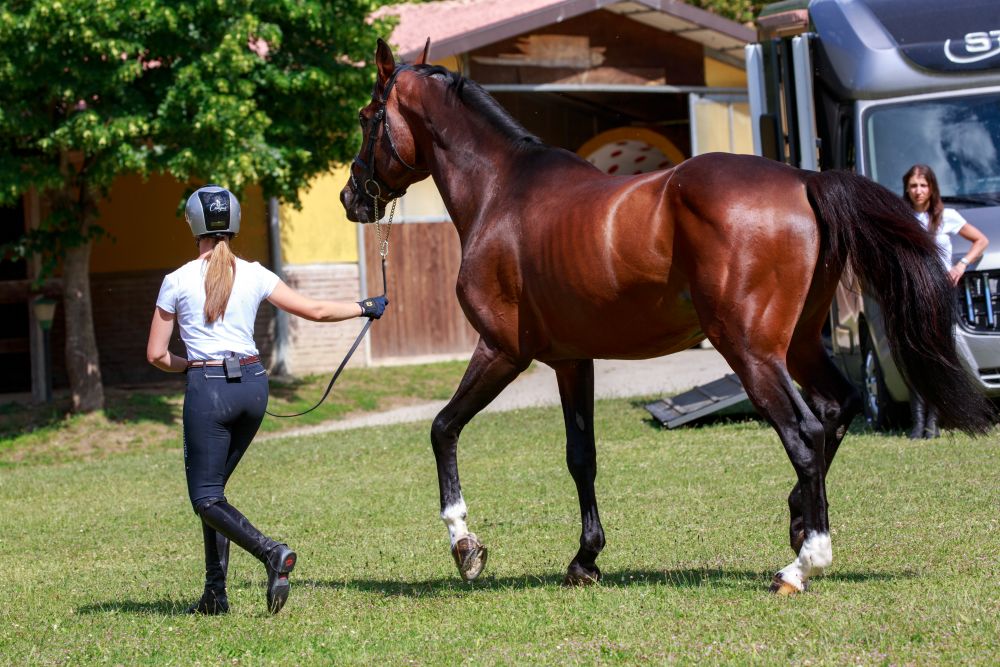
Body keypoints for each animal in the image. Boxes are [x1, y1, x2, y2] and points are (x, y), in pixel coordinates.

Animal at [339, 39, 995, 594]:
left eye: (369, 117)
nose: (351, 198)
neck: (502, 193)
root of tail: (804, 180)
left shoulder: (502, 350)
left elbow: (442, 428)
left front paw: (465, 546)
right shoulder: (572, 360)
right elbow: (581, 456)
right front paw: (585, 559)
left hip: (751, 350)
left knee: (806, 432)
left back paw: (803, 563)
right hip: (801, 343)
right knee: (840, 407)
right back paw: (797, 522)